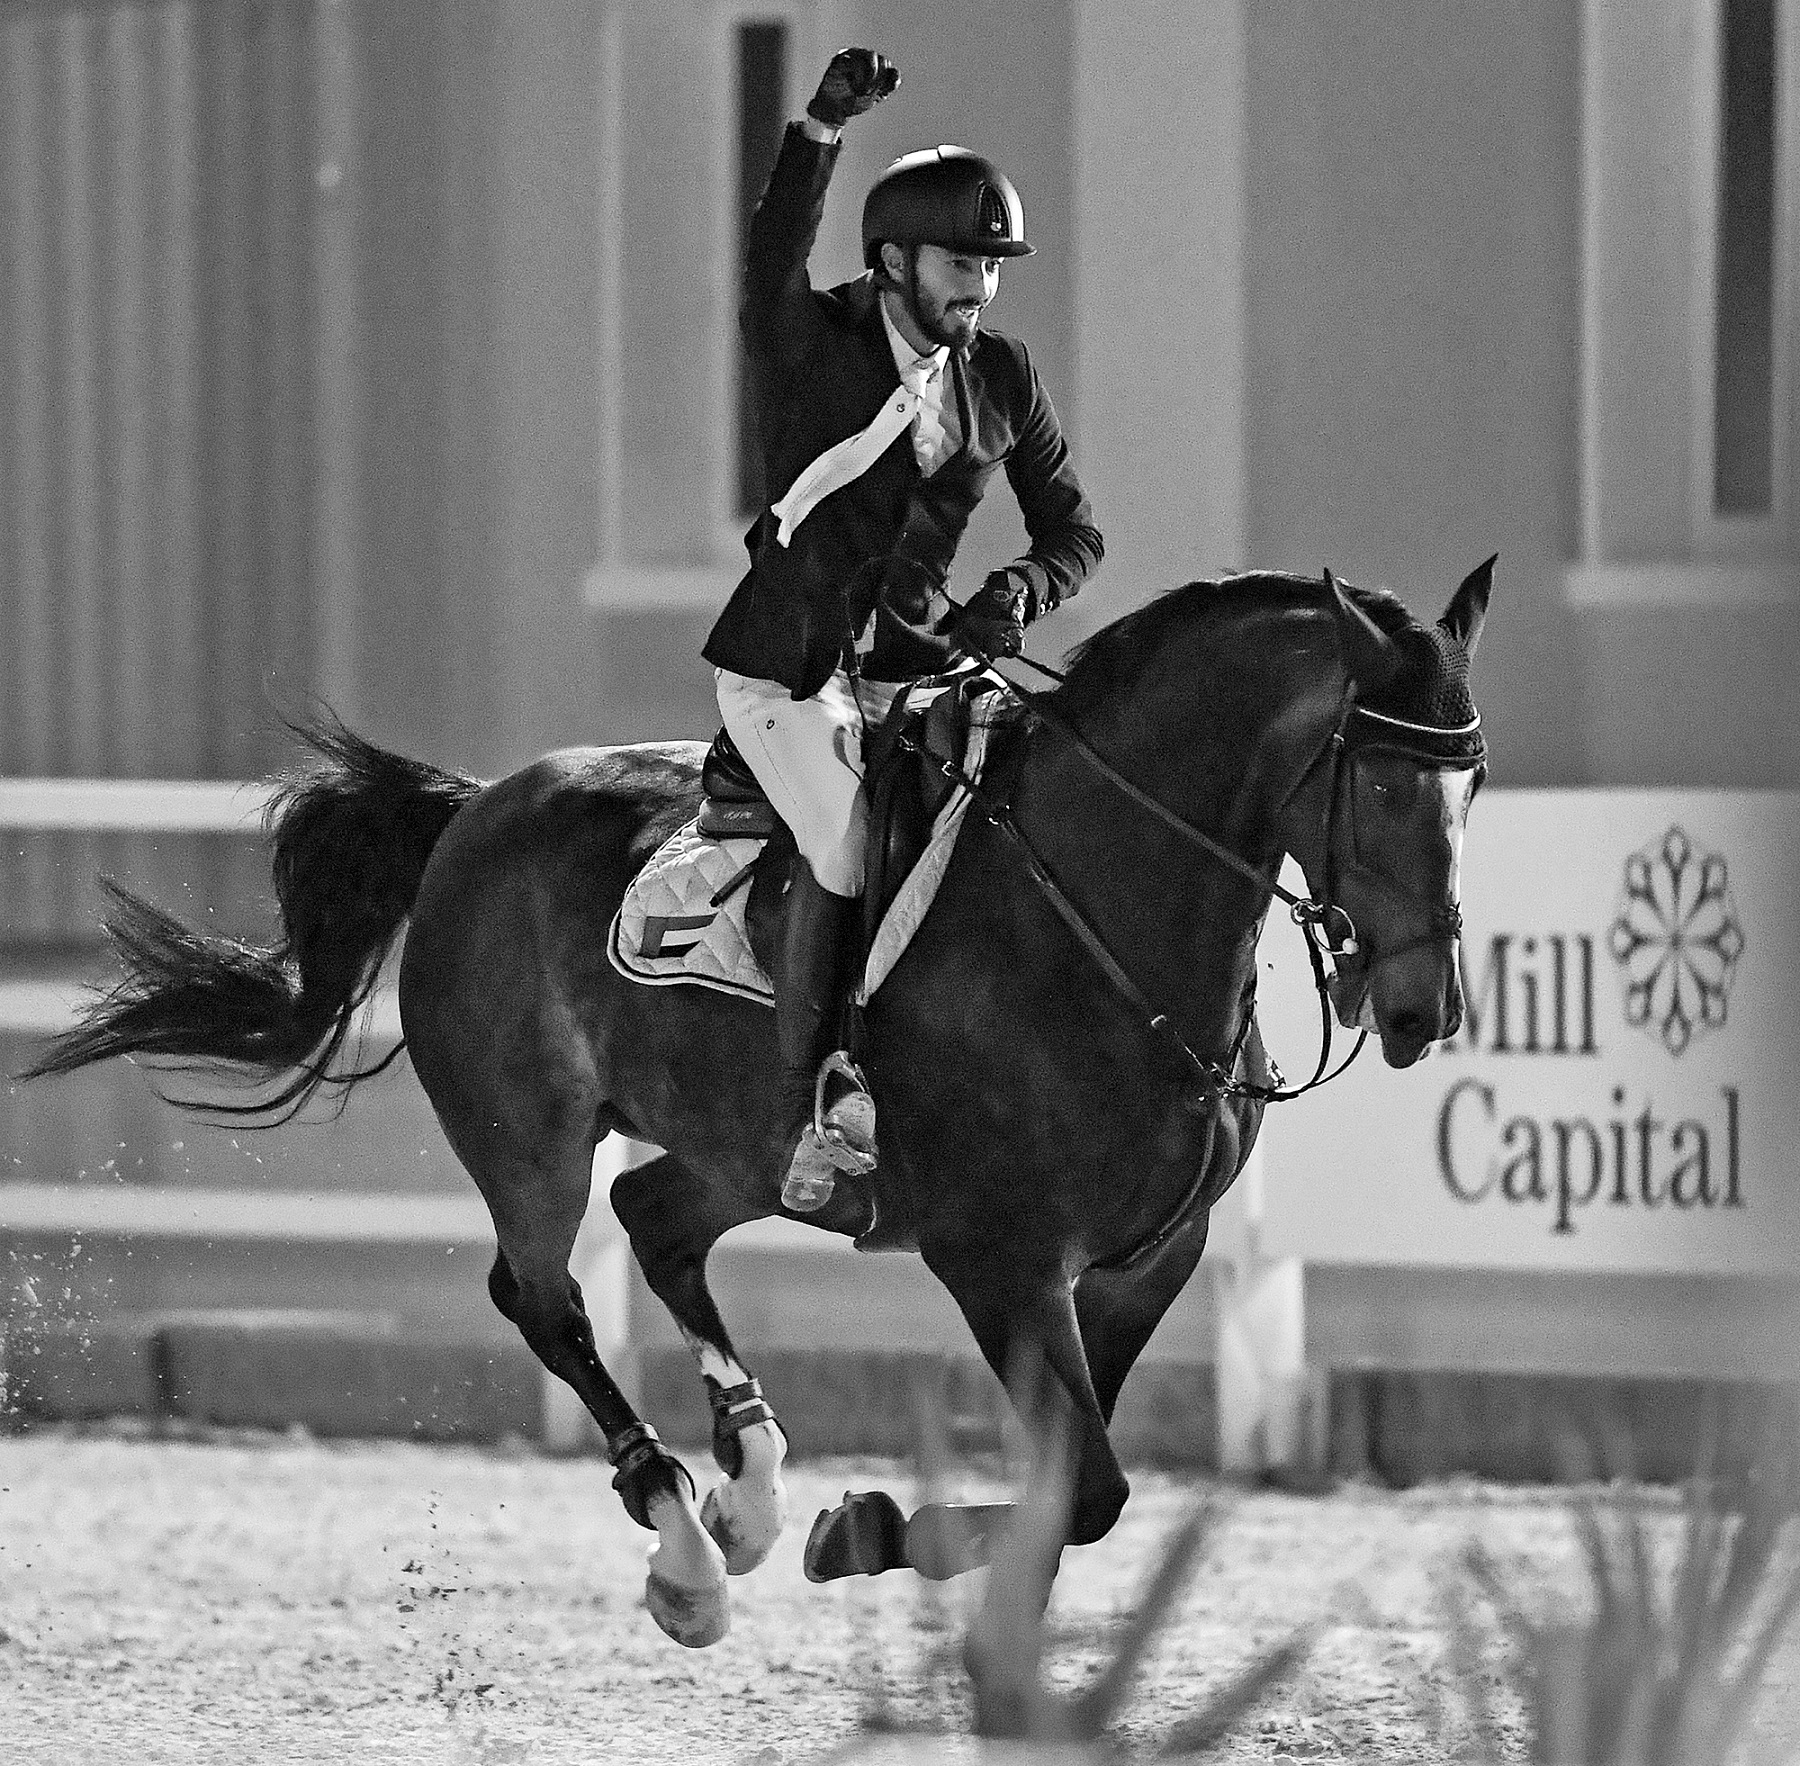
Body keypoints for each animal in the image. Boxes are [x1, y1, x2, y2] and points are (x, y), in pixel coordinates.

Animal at [24, 558, 1494, 1648]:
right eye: (1379, 777)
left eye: (1473, 783)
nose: (1424, 1009)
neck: (1101, 917)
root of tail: (474, 810)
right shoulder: (1005, 1261)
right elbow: (1084, 1482)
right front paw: (870, 1534)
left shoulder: (1145, 1263)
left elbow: (1070, 1486)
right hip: (528, 1133)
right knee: (545, 1291)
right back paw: (686, 1536)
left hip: (738, 1145)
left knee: (656, 1219)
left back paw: (751, 1487)